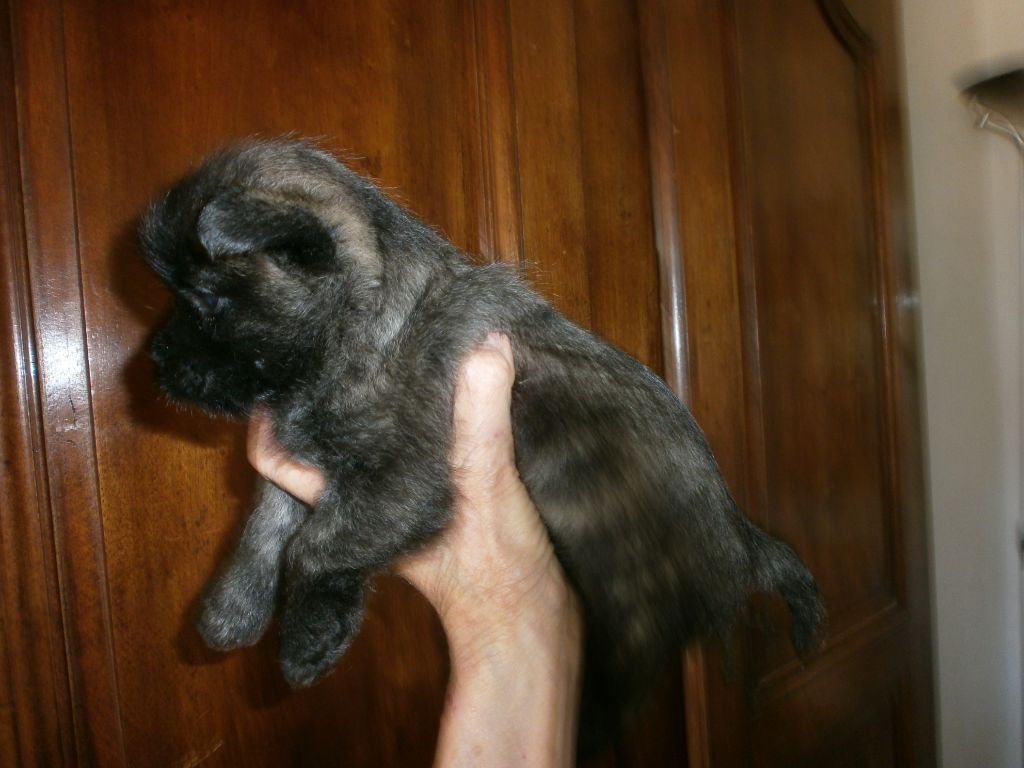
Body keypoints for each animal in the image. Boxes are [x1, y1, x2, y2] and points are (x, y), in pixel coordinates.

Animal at [140, 138, 824, 755]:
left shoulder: (402, 481)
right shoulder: (310, 465)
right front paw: (234, 607)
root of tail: (743, 544)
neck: (361, 329)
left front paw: (308, 636)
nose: (152, 360)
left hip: (634, 612)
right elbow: (266, 521)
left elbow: (315, 546)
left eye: (205, 299)